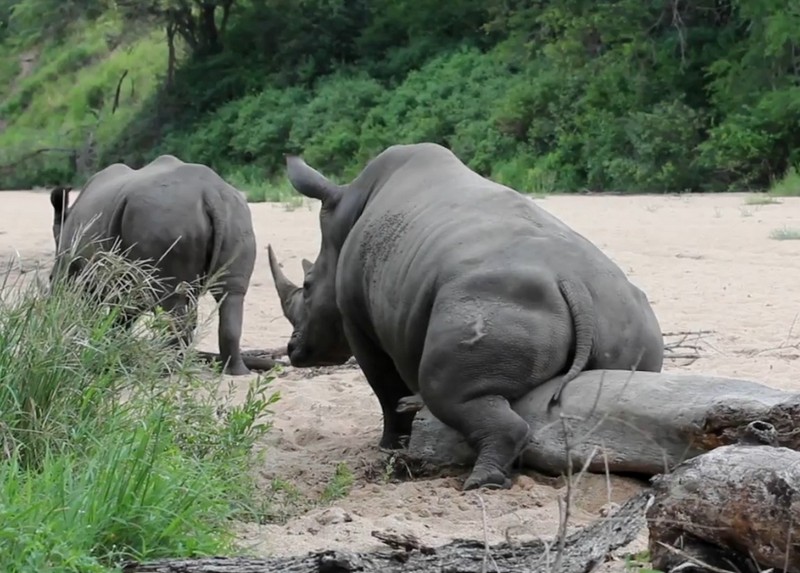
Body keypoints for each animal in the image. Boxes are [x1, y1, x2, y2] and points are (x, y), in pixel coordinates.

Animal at [48, 154, 260, 376]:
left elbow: (99, 305)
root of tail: (211, 194)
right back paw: (235, 371)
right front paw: (110, 344)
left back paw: (168, 368)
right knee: (230, 294)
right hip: (236, 218)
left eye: (51, 279)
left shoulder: (81, 266)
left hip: (165, 219)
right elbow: (124, 311)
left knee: (173, 300)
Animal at [268, 142, 664, 488]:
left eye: (307, 285)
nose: (292, 350)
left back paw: (480, 483)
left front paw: (390, 448)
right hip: (630, 318)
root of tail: (575, 286)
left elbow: (386, 391)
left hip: (486, 304)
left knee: (445, 389)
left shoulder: (358, 322)